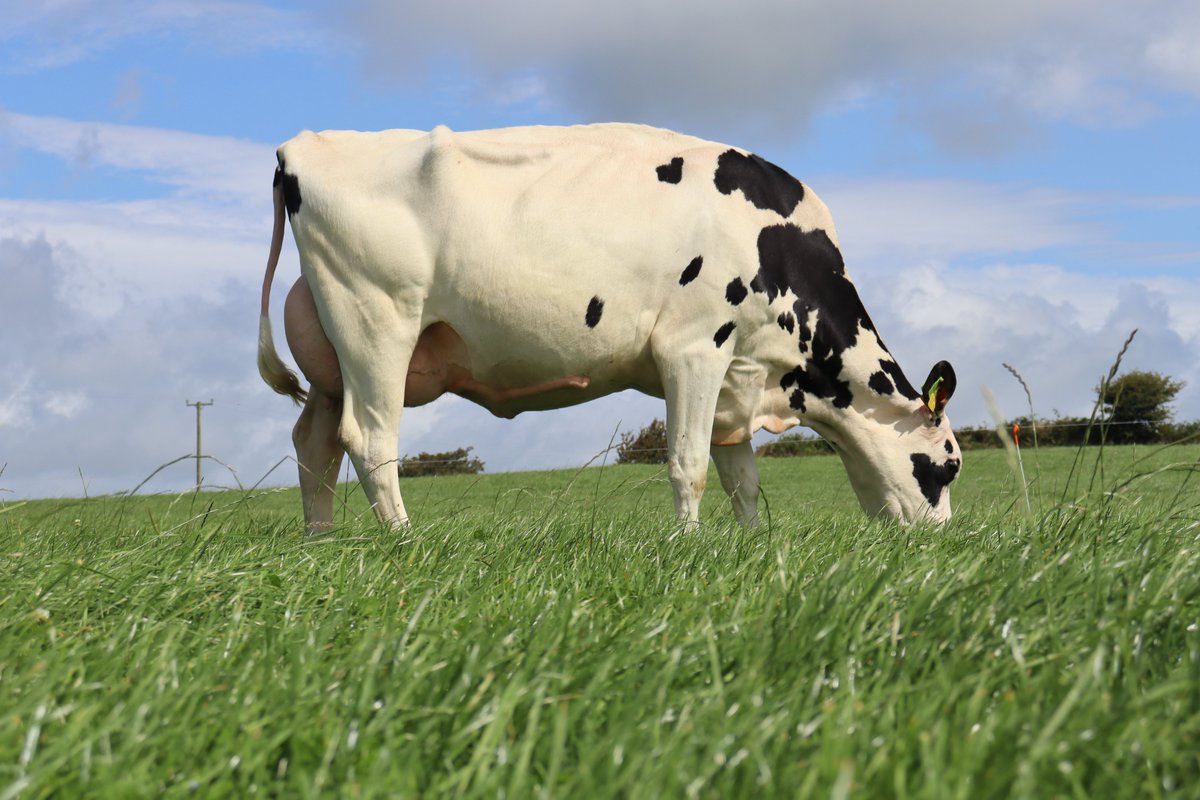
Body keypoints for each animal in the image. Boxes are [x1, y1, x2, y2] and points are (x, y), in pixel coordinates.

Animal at [257, 123, 961, 533]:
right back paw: (403, 540)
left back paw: (320, 540)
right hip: (377, 323)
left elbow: (743, 478)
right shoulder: (694, 348)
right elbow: (689, 463)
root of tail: (302, 144)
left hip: (332, 356)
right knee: (371, 439)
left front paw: (751, 546)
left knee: (314, 444)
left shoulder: (737, 374)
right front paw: (689, 547)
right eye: (948, 466)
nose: (941, 538)